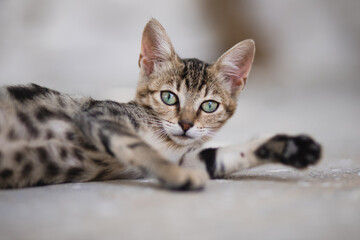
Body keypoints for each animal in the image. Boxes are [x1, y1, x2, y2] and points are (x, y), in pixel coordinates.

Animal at [0, 18, 322, 190]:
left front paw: (291, 146)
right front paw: (177, 176)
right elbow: (139, 146)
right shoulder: (98, 114)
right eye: (169, 97)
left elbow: (224, 154)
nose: (186, 124)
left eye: (209, 106)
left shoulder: (188, 156)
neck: (164, 139)